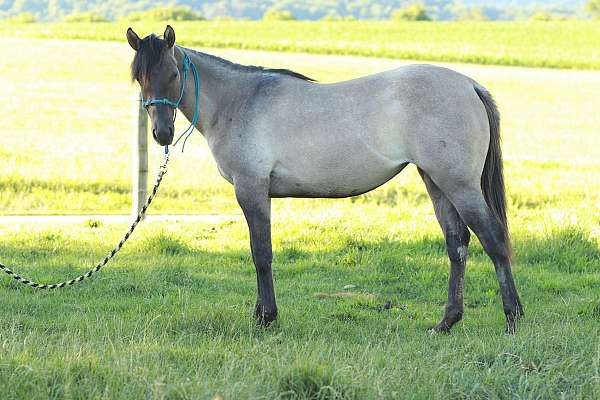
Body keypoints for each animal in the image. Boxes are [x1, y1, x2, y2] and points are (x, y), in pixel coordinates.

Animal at [127, 25, 524, 334]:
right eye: (140, 78)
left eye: (173, 75)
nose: (162, 134)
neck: (240, 101)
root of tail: (469, 84)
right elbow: (259, 252)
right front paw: (261, 314)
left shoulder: (251, 189)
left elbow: (262, 254)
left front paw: (266, 318)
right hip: (436, 182)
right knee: (457, 244)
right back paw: (446, 322)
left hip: (459, 184)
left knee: (493, 240)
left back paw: (512, 319)